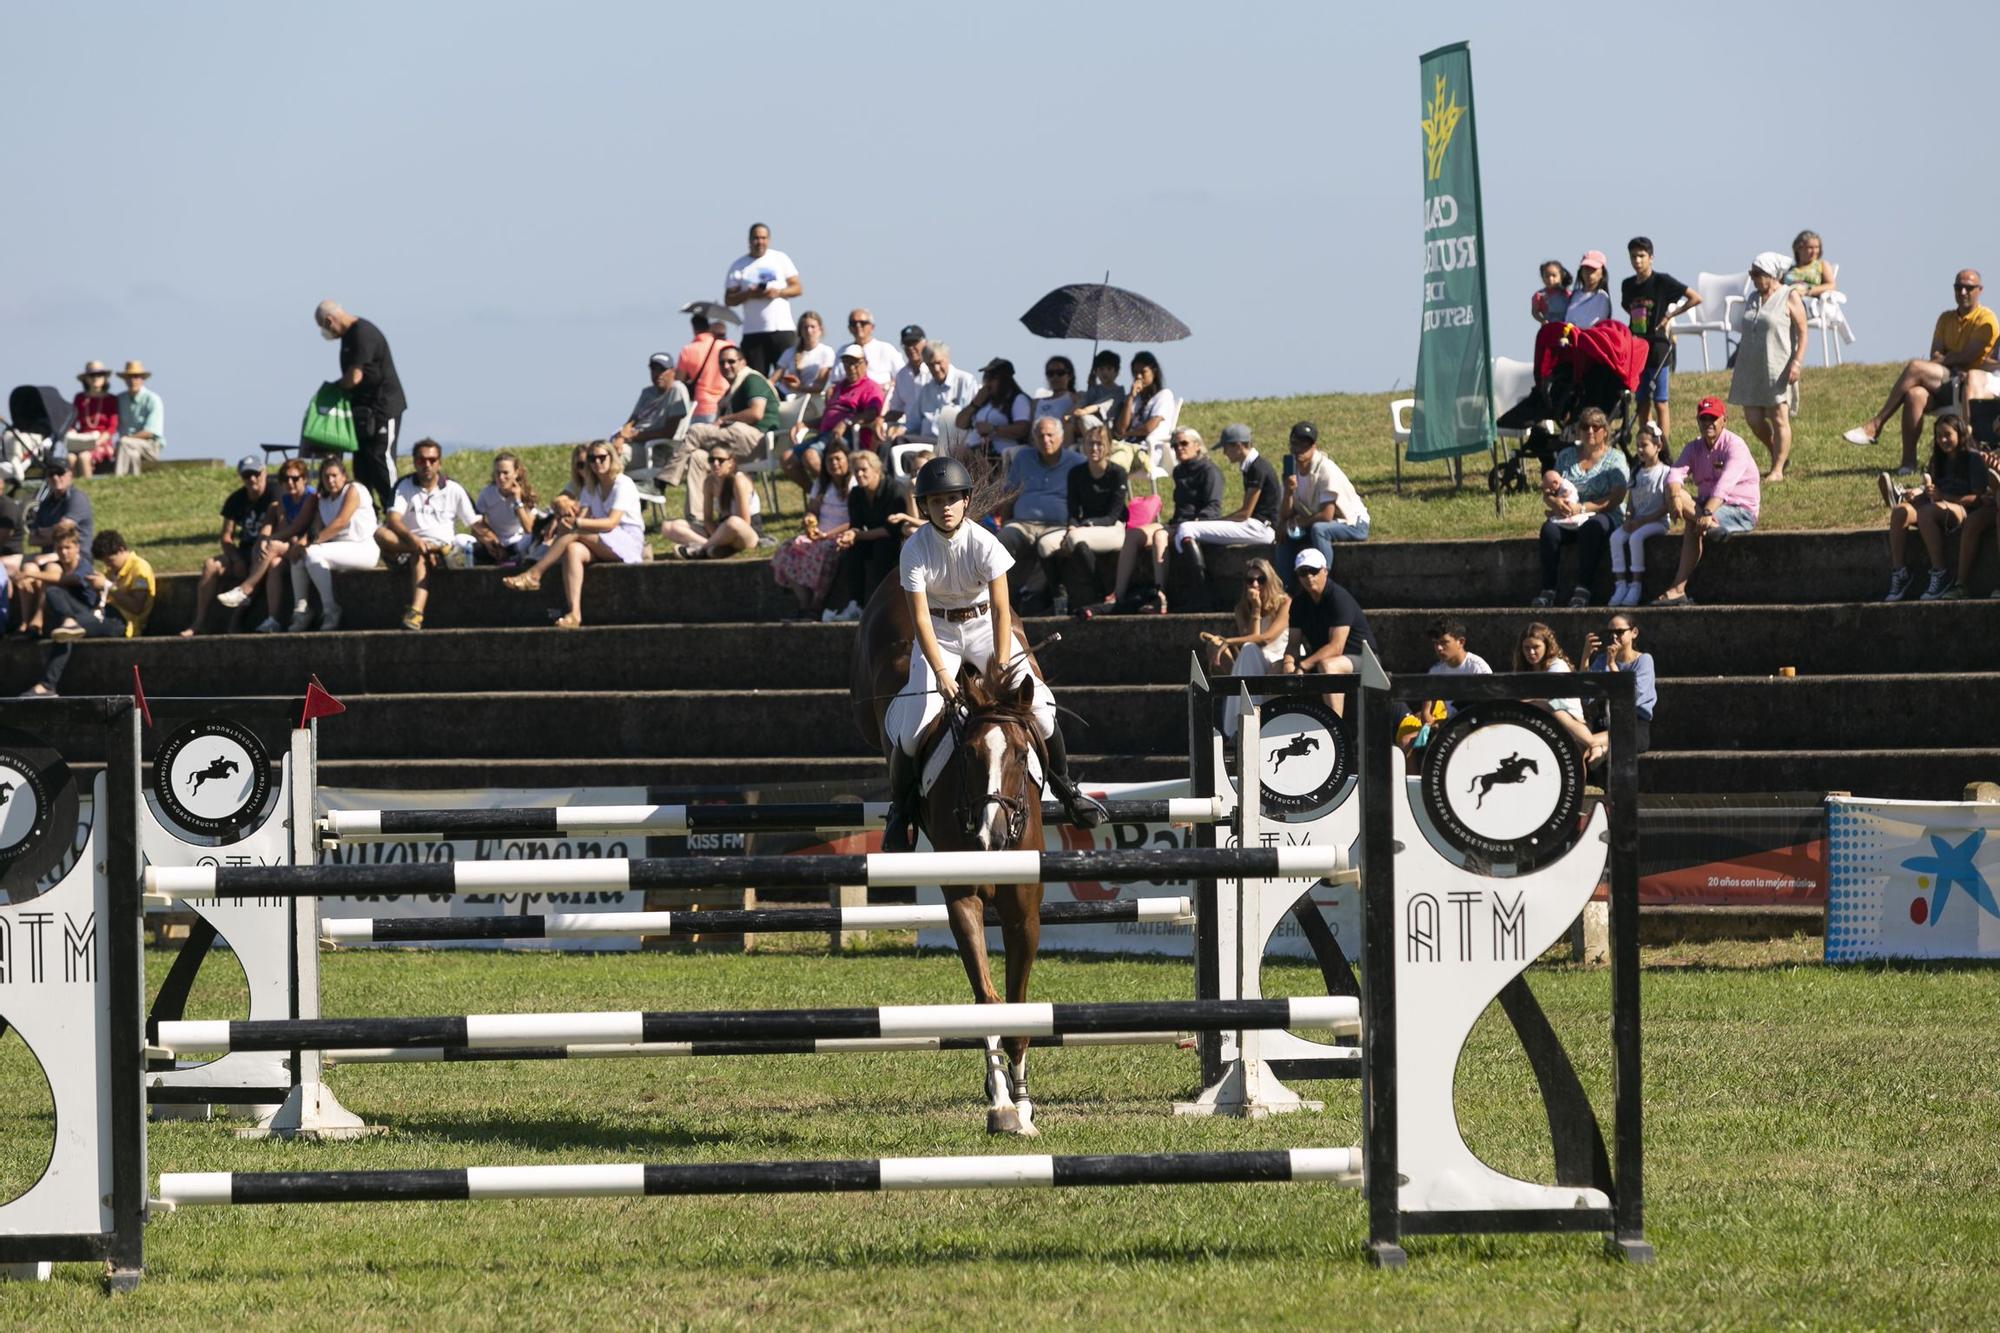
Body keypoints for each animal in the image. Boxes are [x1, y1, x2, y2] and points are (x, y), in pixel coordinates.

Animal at [852, 572, 1056, 1128]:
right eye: (968, 753)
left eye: (1023, 753)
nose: (990, 837)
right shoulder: (963, 900)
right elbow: (986, 998)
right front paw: (1002, 1100)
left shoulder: (1024, 912)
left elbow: (1020, 1003)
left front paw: (1023, 1101)